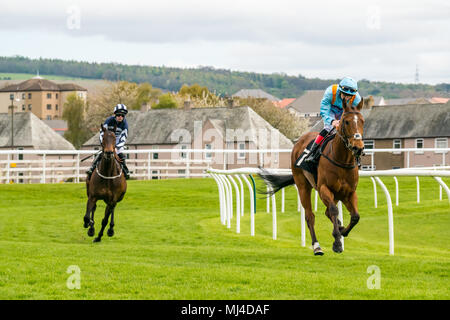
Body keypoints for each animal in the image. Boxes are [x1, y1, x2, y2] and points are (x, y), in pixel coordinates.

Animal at [258, 97, 364, 255]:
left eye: (362, 121)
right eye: (346, 121)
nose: (358, 147)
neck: (341, 160)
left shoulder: (349, 192)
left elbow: (355, 216)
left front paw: (342, 231)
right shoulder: (324, 188)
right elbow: (334, 210)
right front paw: (337, 242)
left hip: (337, 194)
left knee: (328, 212)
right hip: (303, 186)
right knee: (310, 216)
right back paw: (317, 246)